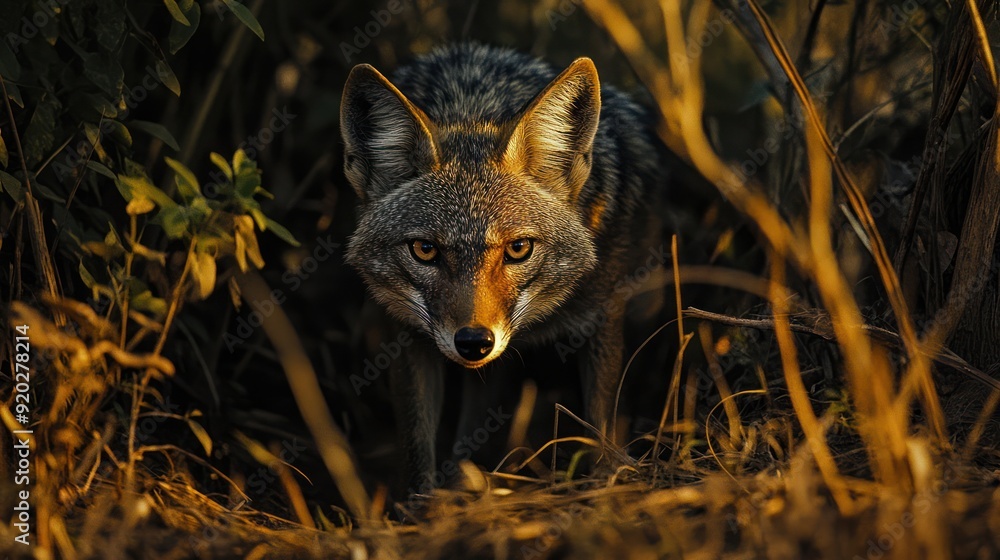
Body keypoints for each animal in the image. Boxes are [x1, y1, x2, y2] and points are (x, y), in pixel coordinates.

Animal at [341, 43, 666, 494]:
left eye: (518, 249)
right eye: (424, 250)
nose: (474, 342)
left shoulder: (604, 316)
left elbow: (601, 420)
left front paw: (606, 483)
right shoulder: (408, 335)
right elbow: (417, 451)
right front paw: (423, 506)